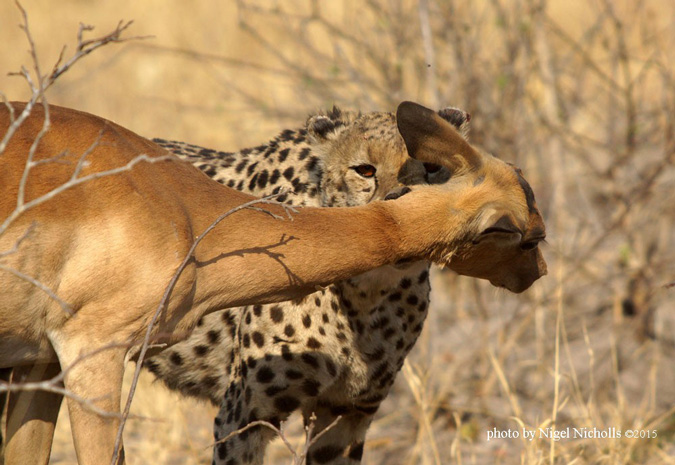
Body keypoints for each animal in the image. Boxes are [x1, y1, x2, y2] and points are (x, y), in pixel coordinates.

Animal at [147, 105, 472, 464]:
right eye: (365, 170)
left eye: (432, 168)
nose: (401, 202)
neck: (366, 295)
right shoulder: (245, 415)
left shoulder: (346, 413)